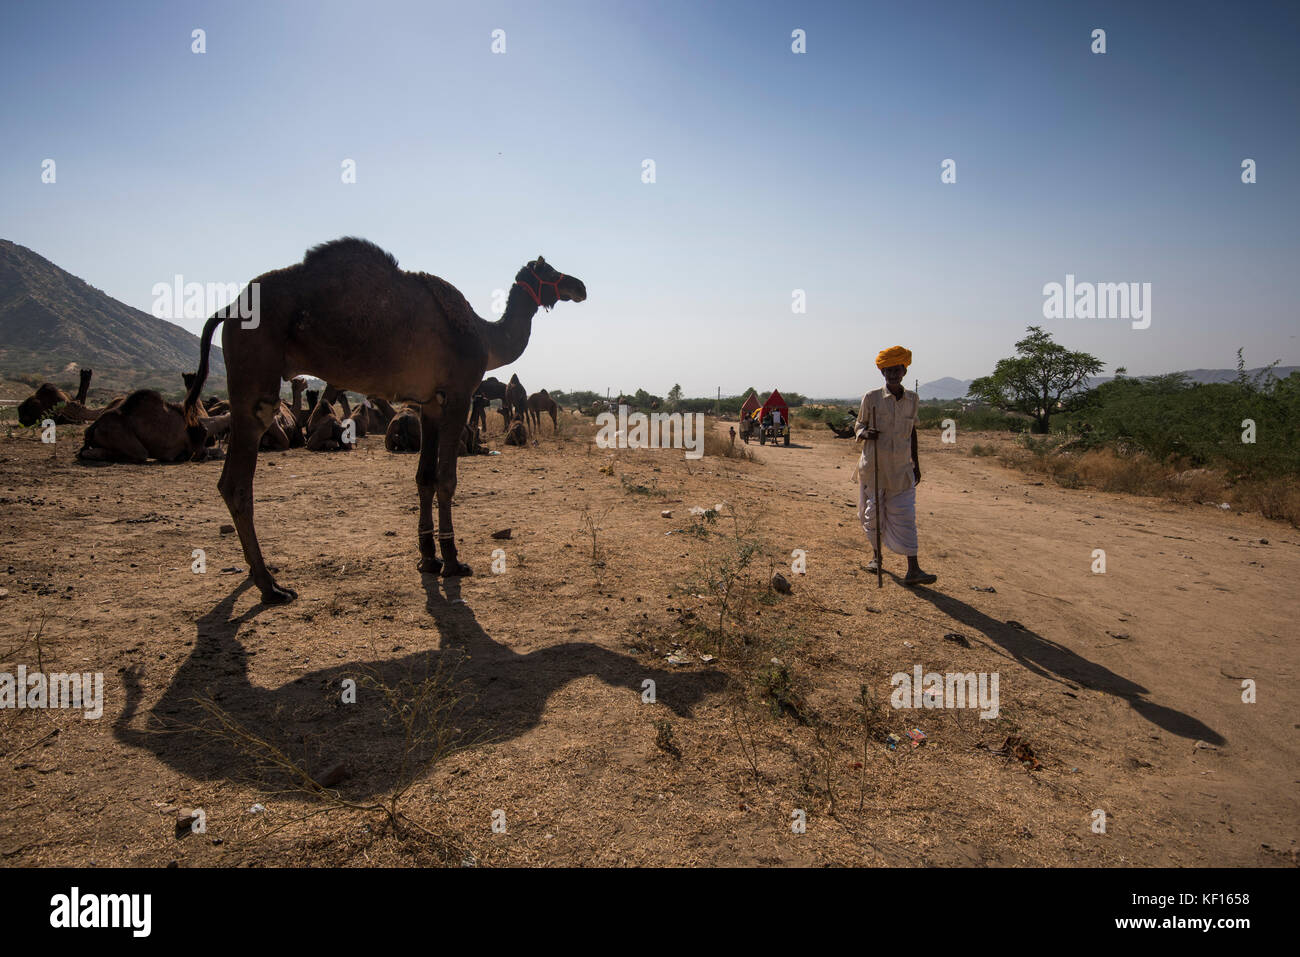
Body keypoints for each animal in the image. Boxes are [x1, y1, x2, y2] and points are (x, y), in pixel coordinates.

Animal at [183, 238, 585, 603]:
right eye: (549, 270)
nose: (579, 286)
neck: (486, 338)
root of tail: (228, 309)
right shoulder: (458, 396)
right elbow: (446, 480)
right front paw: (454, 561)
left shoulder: (430, 403)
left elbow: (424, 478)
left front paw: (428, 558)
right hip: (255, 382)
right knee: (237, 482)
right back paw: (271, 587)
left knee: (230, 482)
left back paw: (261, 579)